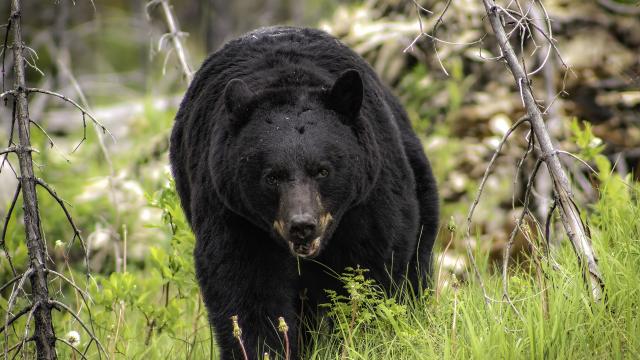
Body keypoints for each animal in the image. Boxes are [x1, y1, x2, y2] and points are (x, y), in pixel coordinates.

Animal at [170, 26, 440, 358]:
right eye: (272, 177)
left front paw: (366, 339)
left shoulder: (368, 200)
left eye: (322, 170)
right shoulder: (232, 211)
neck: (288, 80)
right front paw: (265, 348)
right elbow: (245, 288)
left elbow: (373, 269)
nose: (302, 225)